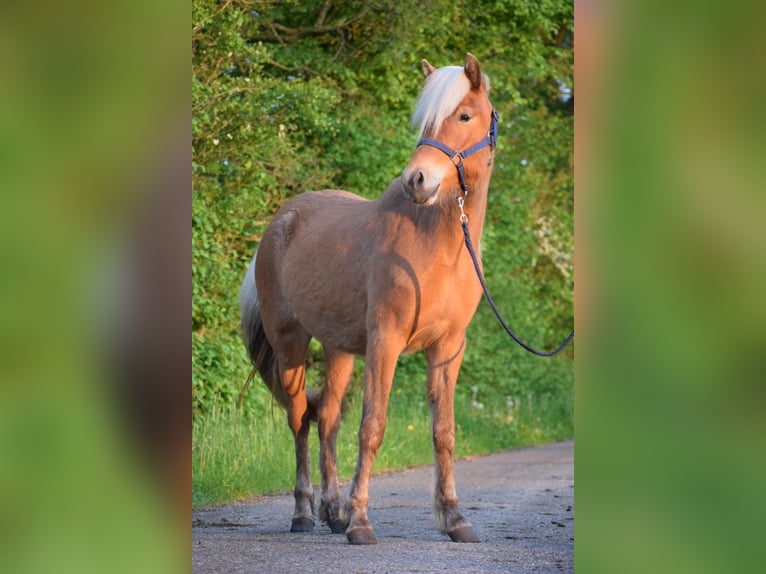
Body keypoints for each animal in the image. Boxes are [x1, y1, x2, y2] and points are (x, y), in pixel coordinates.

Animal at [240, 53, 500, 544]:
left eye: (464, 116)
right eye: (426, 120)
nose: (417, 180)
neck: (438, 247)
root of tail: (281, 221)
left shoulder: (448, 349)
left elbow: (443, 432)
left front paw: (455, 519)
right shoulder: (386, 341)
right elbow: (372, 427)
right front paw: (360, 522)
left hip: (339, 349)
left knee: (327, 418)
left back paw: (332, 510)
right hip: (290, 346)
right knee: (300, 419)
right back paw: (304, 514)